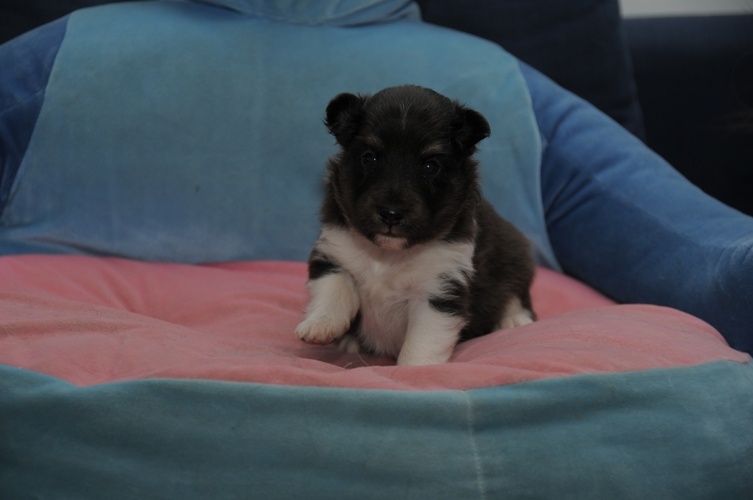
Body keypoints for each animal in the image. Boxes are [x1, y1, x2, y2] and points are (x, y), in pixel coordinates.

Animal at [294, 85, 536, 368]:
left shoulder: (440, 289)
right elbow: (332, 288)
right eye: (369, 158)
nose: (391, 214)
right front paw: (319, 325)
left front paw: (415, 370)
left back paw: (514, 320)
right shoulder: (334, 251)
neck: (388, 254)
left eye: (431, 166)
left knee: (515, 293)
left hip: (513, 252)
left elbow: (422, 342)